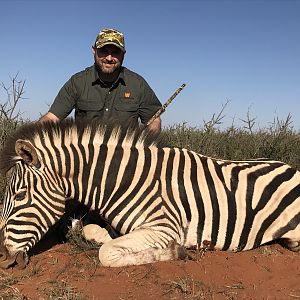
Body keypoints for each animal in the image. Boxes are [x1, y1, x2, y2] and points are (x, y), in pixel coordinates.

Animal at [0, 118, 298, 270]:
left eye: (20, 195)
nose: (3, 257)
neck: (124, 180)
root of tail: (289, 166)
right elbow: (95, 233)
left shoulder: (164, 227)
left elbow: (106, 253)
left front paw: (174, 252)